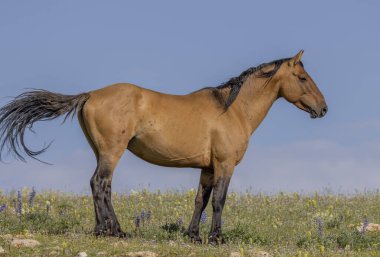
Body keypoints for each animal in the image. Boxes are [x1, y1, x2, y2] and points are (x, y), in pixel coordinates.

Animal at [0, 50, 326, 244]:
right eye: (302, 77)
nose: (322, 109)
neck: (231, 109)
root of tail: (90, 94)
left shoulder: (207, 168)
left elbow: (200, 200)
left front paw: (194, 235)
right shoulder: (224, 165)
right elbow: (219, 201)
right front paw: (216, 238)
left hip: (100, 151)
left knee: (97, 185)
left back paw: (101, 230)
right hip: (112, 152)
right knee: (100, 184)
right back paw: (115, 231)